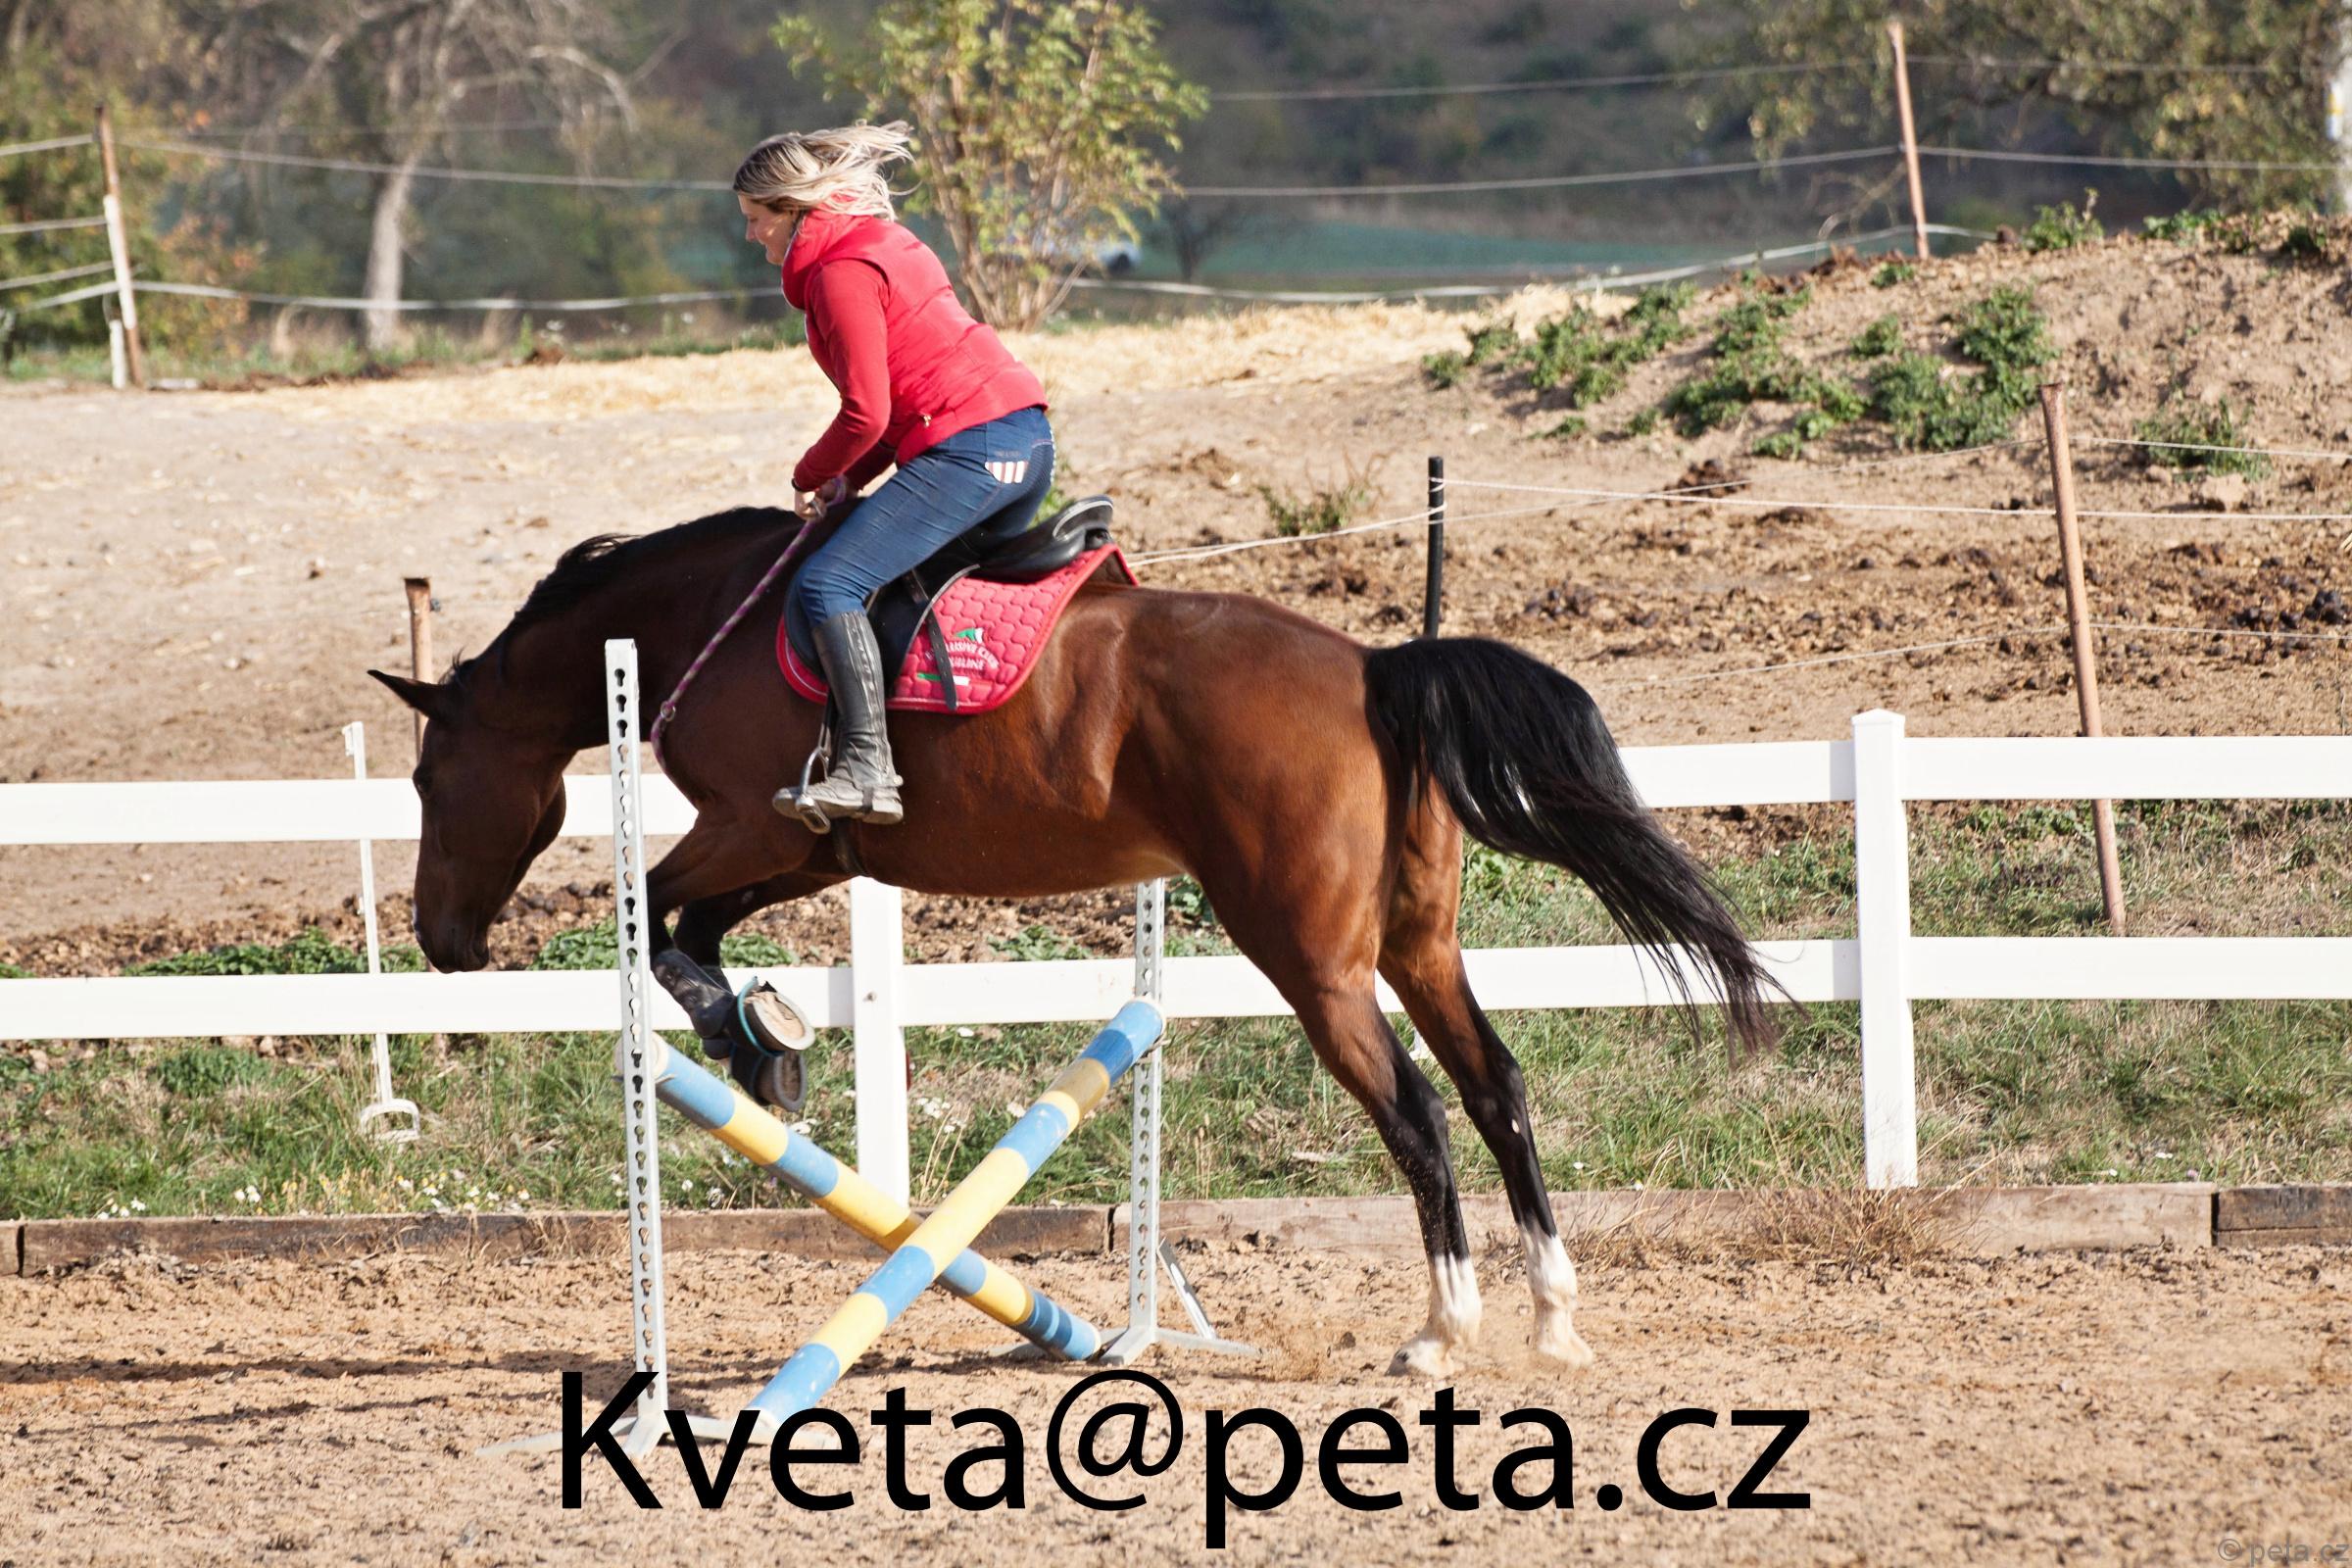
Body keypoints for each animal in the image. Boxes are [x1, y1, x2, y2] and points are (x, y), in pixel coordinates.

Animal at [370, 503, 1777, 1377]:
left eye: (431, 780)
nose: (441, 941)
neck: (694, 619)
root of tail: (1375, 669)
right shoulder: (804, 850)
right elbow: (690, 921)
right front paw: (762, 1032)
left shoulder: (755, 825)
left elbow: (664, 915)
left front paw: (745, 1028)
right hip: (1416, 945)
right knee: (1496, 1090)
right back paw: (1552, 1319)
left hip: (1313, 961)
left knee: (1419, 1114)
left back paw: (1442, 1330)